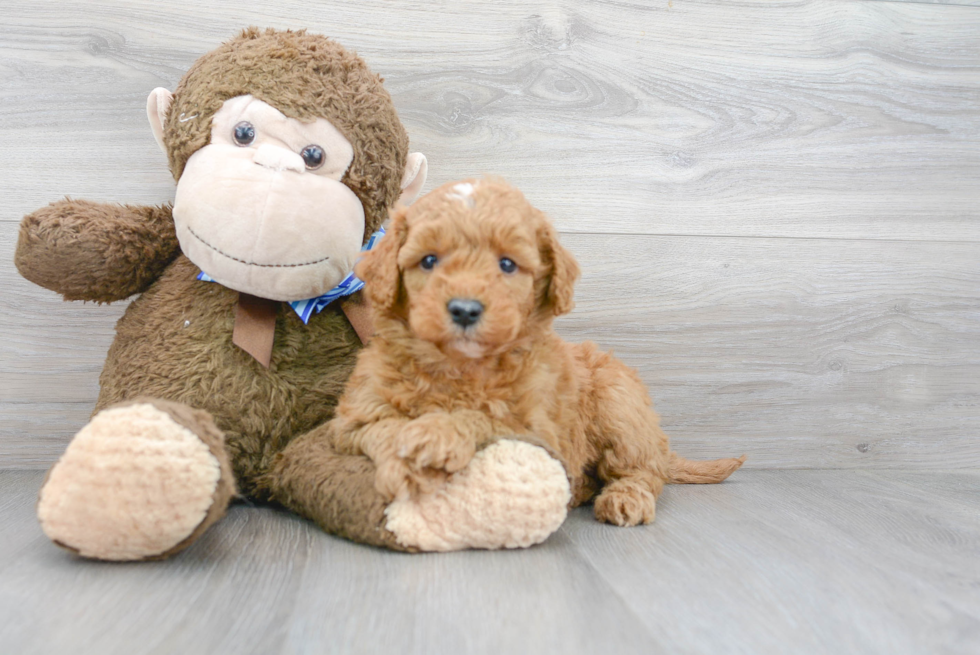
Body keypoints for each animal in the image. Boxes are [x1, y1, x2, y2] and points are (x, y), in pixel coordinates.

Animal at [330, 177, 744, 524]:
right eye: (429, 260)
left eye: (507, 264)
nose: (464, 309)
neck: (459, 367)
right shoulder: (352, 421)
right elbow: (382, 428)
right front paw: (407, 462)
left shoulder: (536, 430)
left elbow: (484, 418)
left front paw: (437, 433)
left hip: (619, 403)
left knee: (643, 470)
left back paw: (626, 497)